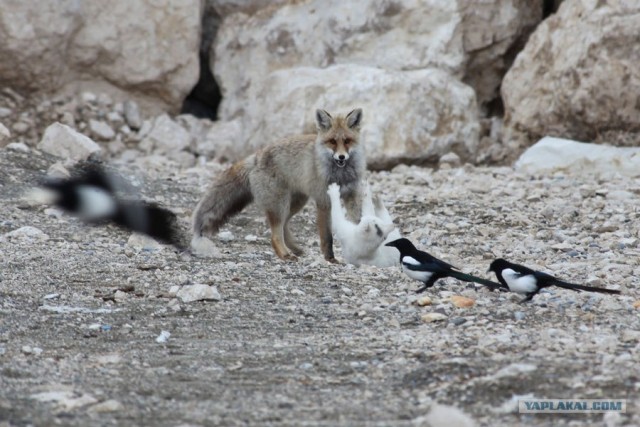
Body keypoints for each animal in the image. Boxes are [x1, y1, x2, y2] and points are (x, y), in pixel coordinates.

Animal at [191, 108, 364, 260]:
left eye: (347, 141)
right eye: (332, 142)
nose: (341, 157)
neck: (341, 175)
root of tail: (257, 156)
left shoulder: (352, 196)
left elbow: (358, 224)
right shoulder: (324, 201)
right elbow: (327, 237)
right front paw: (330, 259)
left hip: (295, 202)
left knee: (284, 226)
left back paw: (295, 249)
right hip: (279, 204)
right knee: (275, 235)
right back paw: (285, 255)